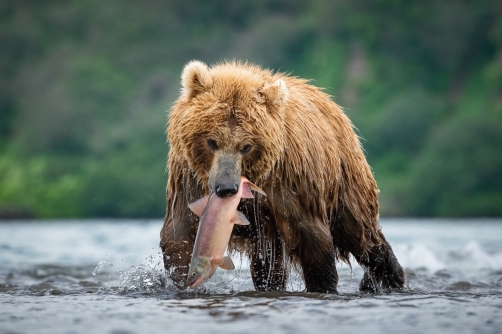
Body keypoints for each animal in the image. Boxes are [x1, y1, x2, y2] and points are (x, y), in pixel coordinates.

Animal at [161, 60, 404, 292]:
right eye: (211, 141)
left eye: (246, 146)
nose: (226, 188)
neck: (257, 176)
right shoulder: (188, 179)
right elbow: (179, 235)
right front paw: (180, 279)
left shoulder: (291, 184)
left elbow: (315, 243)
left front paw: (323, 286)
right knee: (268, 265)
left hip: (344, 181)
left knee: (362, 235)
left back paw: (387, 278)